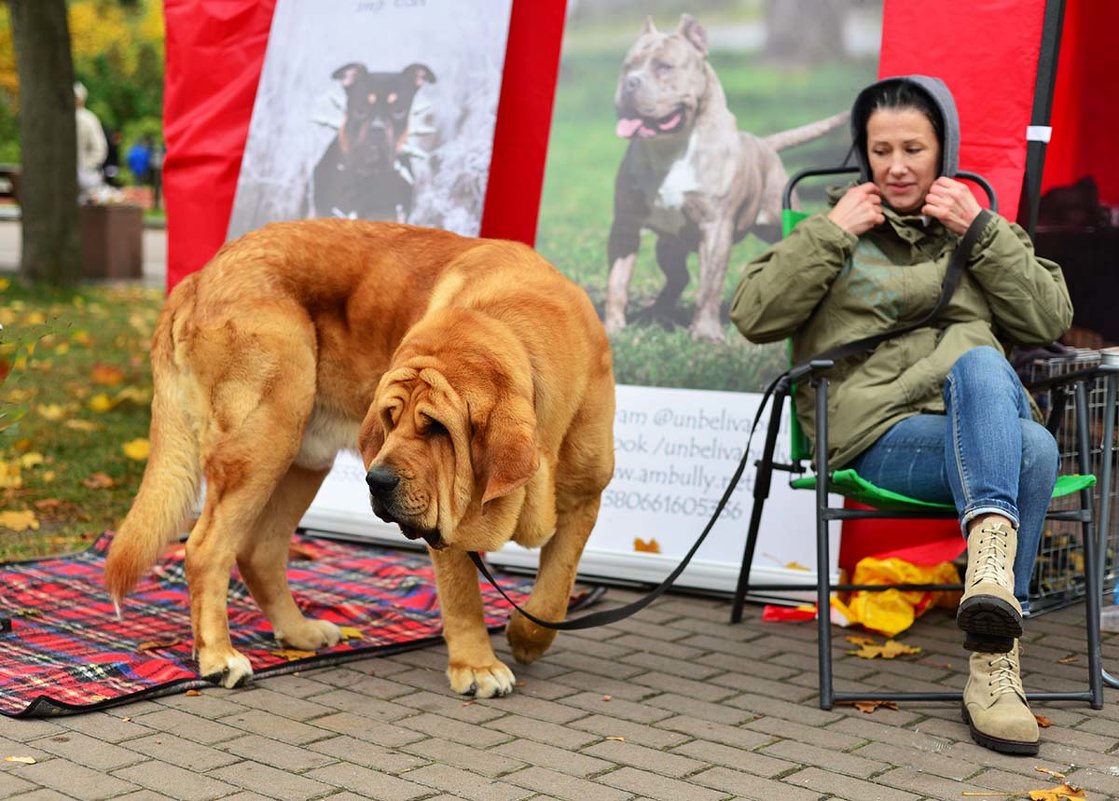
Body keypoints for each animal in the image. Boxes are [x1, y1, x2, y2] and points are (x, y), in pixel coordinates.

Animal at [104, 217, 613, 693]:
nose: (378, 480)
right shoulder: (450, 523)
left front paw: (526, 635)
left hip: (302, 458)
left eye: (437, 428)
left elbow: (556, 587)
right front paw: (478, 666)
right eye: (389, 418)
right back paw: (219, 657)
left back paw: (298, 632)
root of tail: (199, 276)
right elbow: (464, 598)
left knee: (258, 552)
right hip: (264, 439)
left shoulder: (584, 501)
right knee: (206, 549)